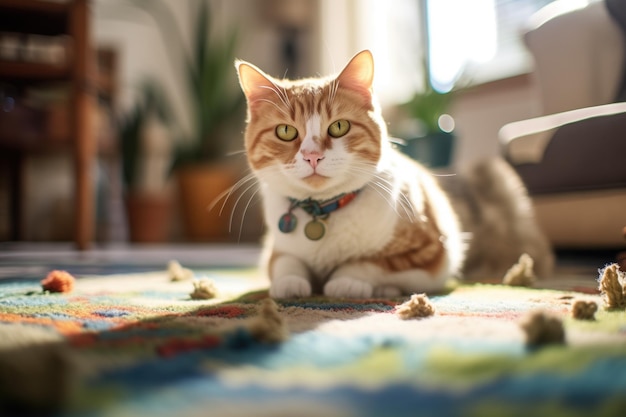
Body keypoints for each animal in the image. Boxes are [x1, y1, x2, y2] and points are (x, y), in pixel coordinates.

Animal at [234, 50, 552, 298]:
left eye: (339, 127)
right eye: (286, 131)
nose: (313, 156)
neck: (325, 212)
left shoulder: (431, 254)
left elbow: (369, 263)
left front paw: (346, 282)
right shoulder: (276, 249)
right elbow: (286, 264)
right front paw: (290, 283)